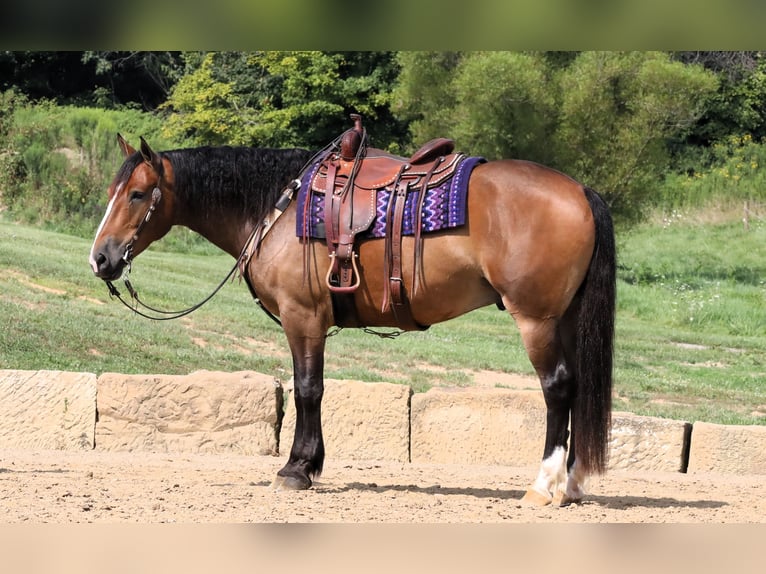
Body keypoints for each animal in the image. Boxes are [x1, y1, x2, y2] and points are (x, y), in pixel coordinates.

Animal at [90, 132, 616, 508]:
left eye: (138, 194)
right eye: (113, 191)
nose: (100, 259)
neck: (279, 208)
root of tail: (580, 191)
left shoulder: (303, 317)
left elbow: (308, 389)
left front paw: (297, 469)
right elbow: (312, 389)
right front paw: (308, 464)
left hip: (536, 320)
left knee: (558, 388)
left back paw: (543, 485)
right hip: (564, 319)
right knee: (576, 389)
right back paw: (571, 486)